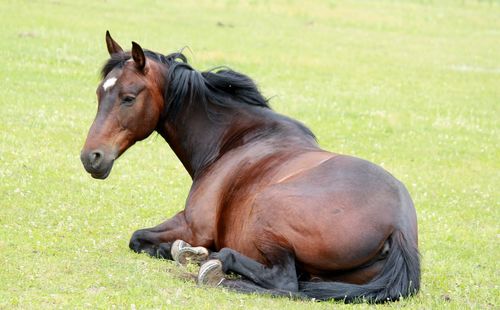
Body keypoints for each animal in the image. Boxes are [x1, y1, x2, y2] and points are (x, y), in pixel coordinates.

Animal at [81, 32, 418, 302]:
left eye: (128, 98)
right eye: (99, 93)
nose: (91, 157)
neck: (234, 139)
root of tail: (399, 225)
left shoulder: (192, 224)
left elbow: (138, 238)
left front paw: (184, 251)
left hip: (269, 209)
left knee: (283, 281)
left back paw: (210, 264)